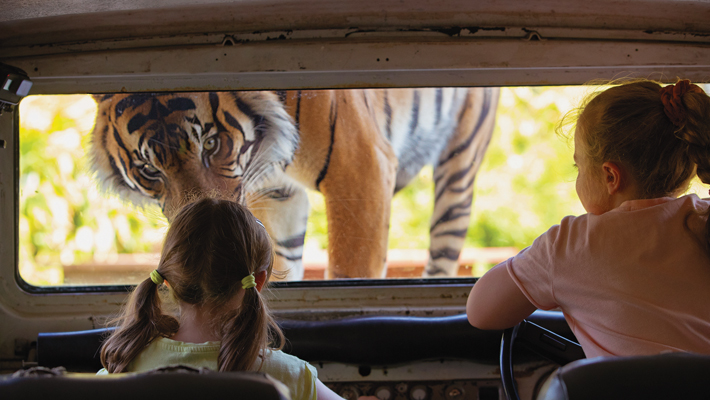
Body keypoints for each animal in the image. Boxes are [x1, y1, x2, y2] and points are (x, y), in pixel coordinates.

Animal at [90, 89, 500, 280]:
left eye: (211, 144)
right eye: (149, 169)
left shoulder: (361, 168)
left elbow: (353, 268)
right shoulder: (276, 195)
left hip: (460, 163)